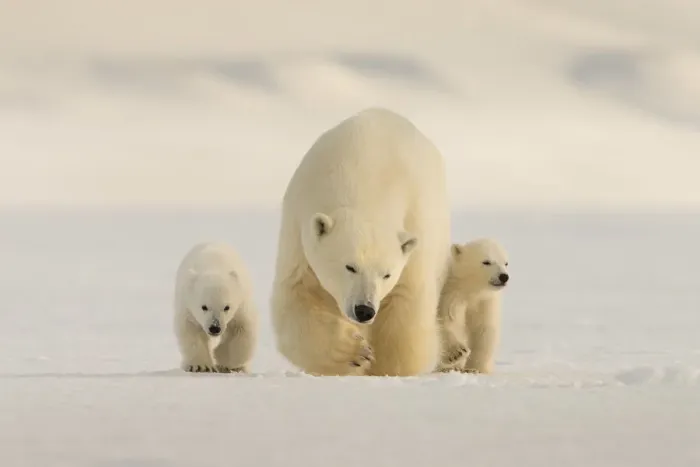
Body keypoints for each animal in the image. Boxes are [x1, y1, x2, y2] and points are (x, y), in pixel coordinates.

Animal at [173, 241, 259, 373]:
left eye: (227, 307)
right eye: (204, 307)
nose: (214, 328)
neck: (214, 265)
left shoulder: (241, 303)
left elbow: (242, 329)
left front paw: (225, 363)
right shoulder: (187, 305)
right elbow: (191, 330)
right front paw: (200, 366)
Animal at [270, 107, 452, 377]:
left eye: (386, 274)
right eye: (350, 266)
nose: (364, 310)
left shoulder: (416, 226)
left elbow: (407, 306)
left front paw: (385, 368)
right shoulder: (298, 226)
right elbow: (297, 298)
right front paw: (354, 352)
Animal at [435, 238, 510, 374]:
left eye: (506, 263)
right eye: (486, 262)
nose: (503, 276)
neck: (472, 291)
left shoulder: (485, 302)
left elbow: (484, 331)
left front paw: (476, 369)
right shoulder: (453, 296)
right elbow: (449, 321)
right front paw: (457, 354)